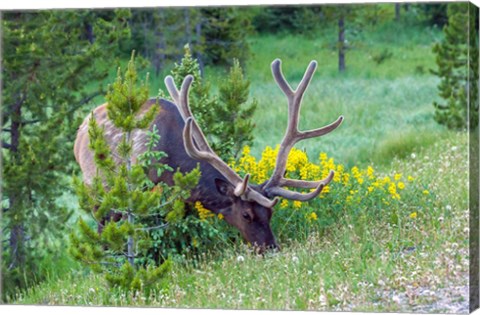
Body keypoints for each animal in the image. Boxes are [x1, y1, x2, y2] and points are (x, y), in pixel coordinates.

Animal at [73, 58, 344, 253]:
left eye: (270, 213)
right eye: (246, 214)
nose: (271, 248)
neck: (173, 162)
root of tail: (80, 130)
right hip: (97, 189)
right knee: (102, 228)